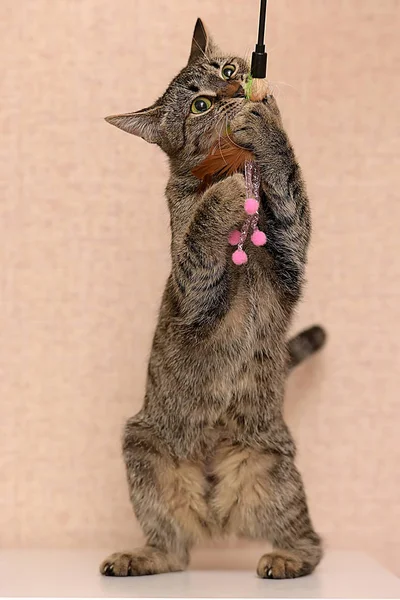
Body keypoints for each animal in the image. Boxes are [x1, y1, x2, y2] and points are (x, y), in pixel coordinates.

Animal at [100, 19, 324, 580]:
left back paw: (287, 558)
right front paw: (220, 195)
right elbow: (202, 226)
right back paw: (141, 556)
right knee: (174, 549)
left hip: (275, 472)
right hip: (143, 452)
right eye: (200, 105)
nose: (231, 90)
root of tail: (217, 514)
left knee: (310, 542)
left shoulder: (292, 256)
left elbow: (287, 184)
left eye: (226, 69)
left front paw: (266, 129)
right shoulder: (193, 291)